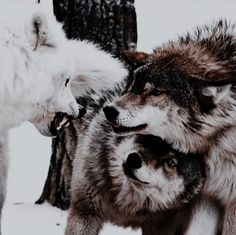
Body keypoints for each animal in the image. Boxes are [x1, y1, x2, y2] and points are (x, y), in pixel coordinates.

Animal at [64, 85, 221, 234]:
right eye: (146, 139)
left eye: (170, 162)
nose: (133, 159)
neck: (125, 208)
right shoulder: (85, 211)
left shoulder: (162, 225)